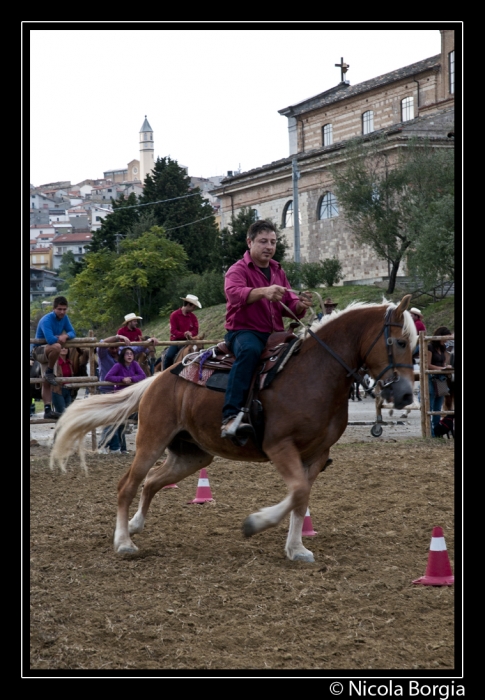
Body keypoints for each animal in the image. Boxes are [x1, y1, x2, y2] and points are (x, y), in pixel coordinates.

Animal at [50, 296, 416, 564]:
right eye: (398, 341)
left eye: (414, 345)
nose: (405, 395)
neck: (316, 372)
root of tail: (158, 377)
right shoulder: (280, 446)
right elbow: (297, 492)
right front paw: (255, 524)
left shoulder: (315, 455)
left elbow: (301, 498)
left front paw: (296, 548)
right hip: (150, 441)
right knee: (127, 484)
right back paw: (124, 542)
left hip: (192, 456)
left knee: (152, 481)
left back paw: (135, 525)